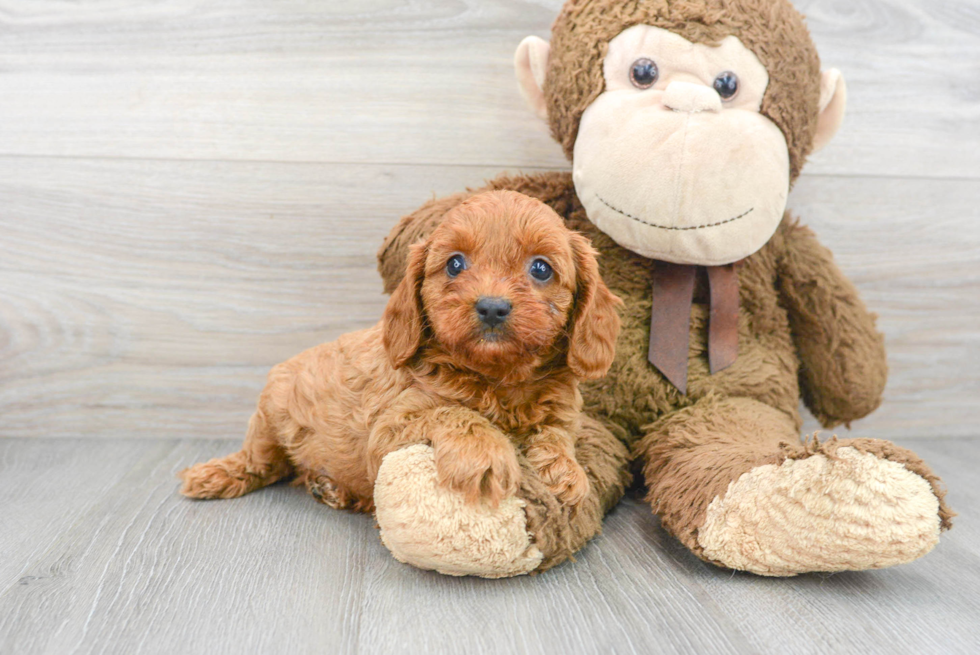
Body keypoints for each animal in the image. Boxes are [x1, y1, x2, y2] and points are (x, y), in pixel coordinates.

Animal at [179, 192, 616, 510]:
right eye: (455, 264)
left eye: (541, 268)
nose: (492, 306)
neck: (498, 377)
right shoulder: (391, 426)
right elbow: (456, 413)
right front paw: (486, 456)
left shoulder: (562, 413)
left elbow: (556, 435)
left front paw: (565, 472)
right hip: (271, 412)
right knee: (260, 461)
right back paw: (215, 474)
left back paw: (329, 487)